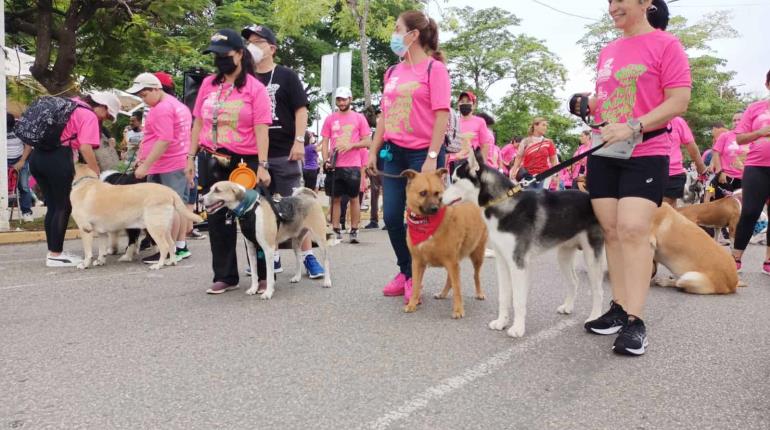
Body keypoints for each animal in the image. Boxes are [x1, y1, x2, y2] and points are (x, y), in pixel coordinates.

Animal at [69, 164, 202, 268]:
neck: (86, 182)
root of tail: (170, 191)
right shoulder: (102, 233)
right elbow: (102, 249)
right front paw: (100, 261)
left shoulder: (85, 229)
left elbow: (88, 252)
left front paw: (85, 264)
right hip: (164, 228)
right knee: (171, 244)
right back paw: (171, 262)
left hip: (154, 228)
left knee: (164, 247)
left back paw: (158, 265)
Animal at [402, 168, 486, 320]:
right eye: (423, 193)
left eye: (437, 193)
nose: (435, 208)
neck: (426, 224)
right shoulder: (417, 262)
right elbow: (416, 285)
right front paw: (412, 303)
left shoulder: (452, 262)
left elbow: (458, 288)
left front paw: (458, 309)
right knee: (450, 279)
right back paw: (443, 293)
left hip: (477, 255)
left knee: (475, 275)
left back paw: (479, 293)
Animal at [440, 149, 604, 338]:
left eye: (455, 181)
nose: (439, 197)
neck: (503, 203)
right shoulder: (502, 262)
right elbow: (504, 297)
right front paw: (501, 322)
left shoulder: (517, 263)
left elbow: (518, 300)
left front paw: (517, 328)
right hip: (563, 256)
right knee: (574, 282)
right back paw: (568, 307)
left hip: (592, 258)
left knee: (598, 291)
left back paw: (594, 318)